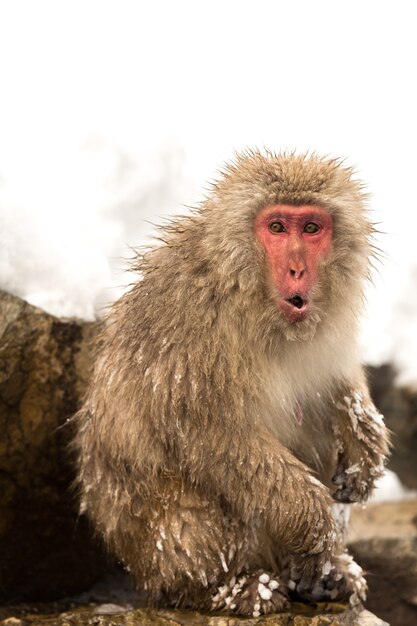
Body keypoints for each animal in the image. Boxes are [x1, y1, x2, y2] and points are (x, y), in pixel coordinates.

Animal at [75, 151, 390, 616]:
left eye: (310, 228)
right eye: (277, 227)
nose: (297, 268)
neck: (251, 297)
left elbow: (334, 382)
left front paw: (364, 447)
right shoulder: (194, 330)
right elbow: (215, 437)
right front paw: (315, 524)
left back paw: (324, 579)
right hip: (156, 545)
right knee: (189, 521)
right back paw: (230, 588)